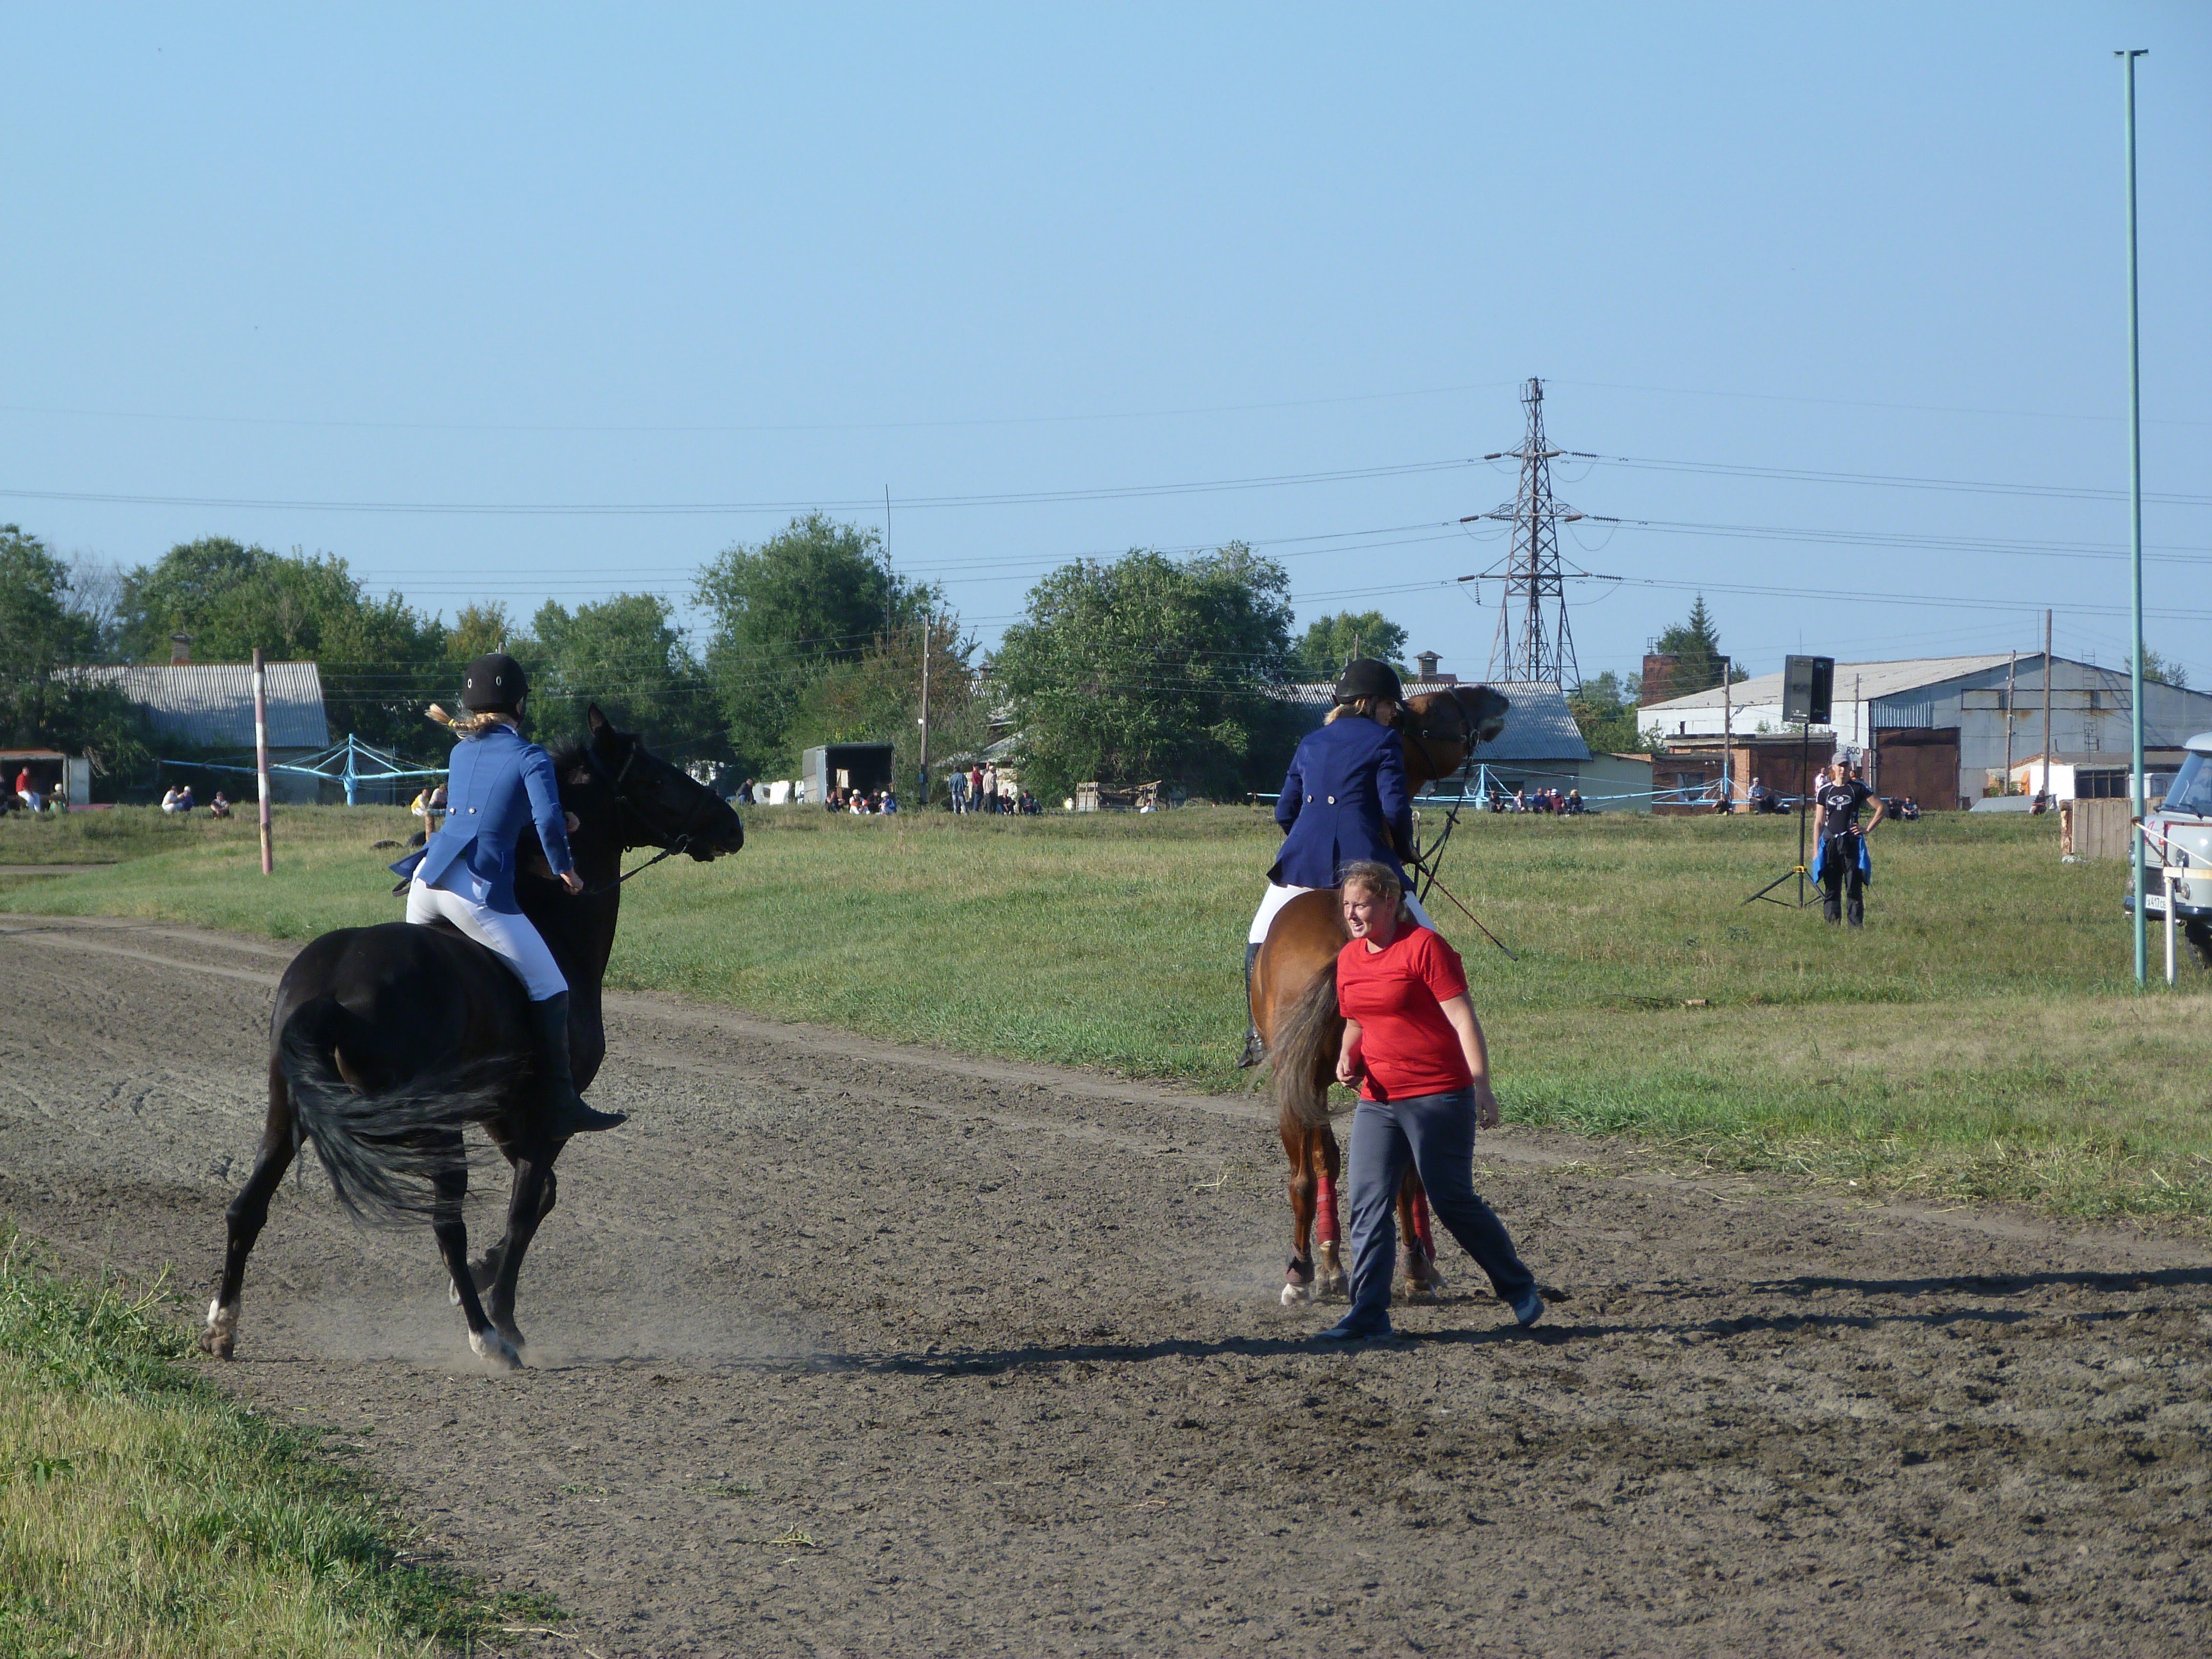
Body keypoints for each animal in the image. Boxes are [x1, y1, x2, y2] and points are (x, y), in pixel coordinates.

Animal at [199, 706, 744, 1369]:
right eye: (658, 780)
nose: (733, 825)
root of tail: (332, 989)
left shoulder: (503, 1115)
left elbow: (544, 1196)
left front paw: (482, 1278)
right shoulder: (545, 1118)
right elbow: (526, 1207)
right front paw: (502, 1309)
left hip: (288, 1113)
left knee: (247, 1208)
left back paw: (223, 1328)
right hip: (433, 1127)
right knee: (446, 1223)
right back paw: (488, 1337)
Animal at [1251, 684, 1510, 1309]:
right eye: (1442, 706)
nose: (1498, 699)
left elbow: (1332, 1161)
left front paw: (1332, 1267)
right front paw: (1407, 1266)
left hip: (1301, 1075)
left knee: (1308, 1170)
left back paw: (1303, 1271)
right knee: (1369, 1168)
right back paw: (1386, 1266)